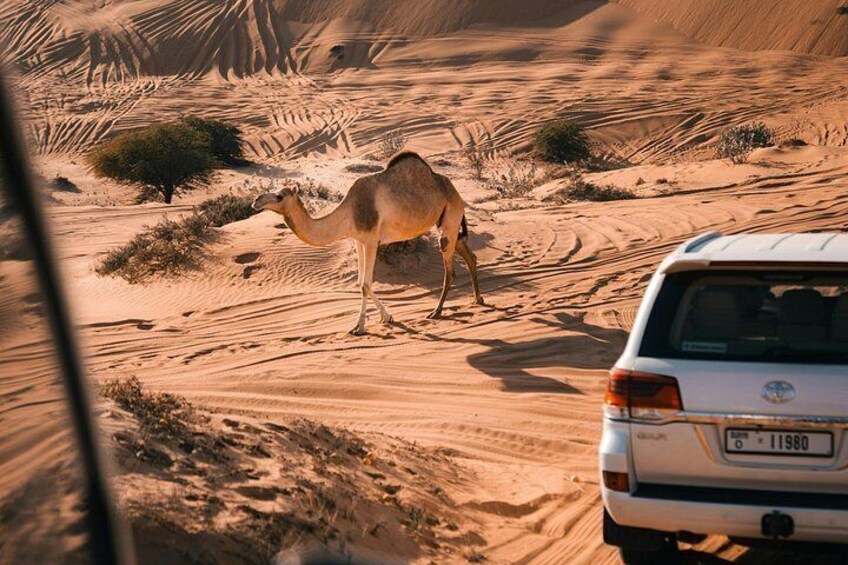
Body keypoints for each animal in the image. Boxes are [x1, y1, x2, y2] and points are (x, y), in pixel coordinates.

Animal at [251, 152, 484, 335]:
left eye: (279, 196)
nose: (256, 201)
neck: (348, 213)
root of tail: (456, 192)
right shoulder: (359, 241)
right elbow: (360, 282)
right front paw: (384, 317)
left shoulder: (372, 240)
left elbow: (365, 284)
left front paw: (361, 327)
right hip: (448, 223)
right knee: (468, 254)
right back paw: (478, 299)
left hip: (450, 218)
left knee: (449, 270)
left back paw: (436, 311)